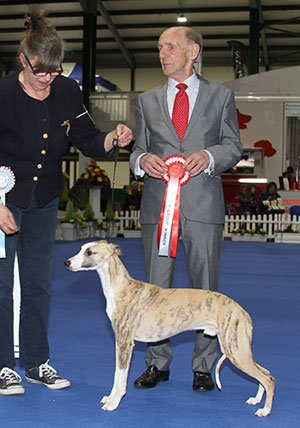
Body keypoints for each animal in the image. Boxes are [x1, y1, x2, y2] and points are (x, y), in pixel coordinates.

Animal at [64, 241, 276, 418]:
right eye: (81, 248)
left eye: (89, 252)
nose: (67, 262)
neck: (120, 287)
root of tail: (243, 311)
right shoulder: (119, 343)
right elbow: (117, 375)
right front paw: (110, 398)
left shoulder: (125, 344)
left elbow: (120, 377)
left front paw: (114, 403)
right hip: (236, 348)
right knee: (266, 372)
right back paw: (256, 399)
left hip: (236, 351)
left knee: (268, 378)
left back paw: (265, 410)